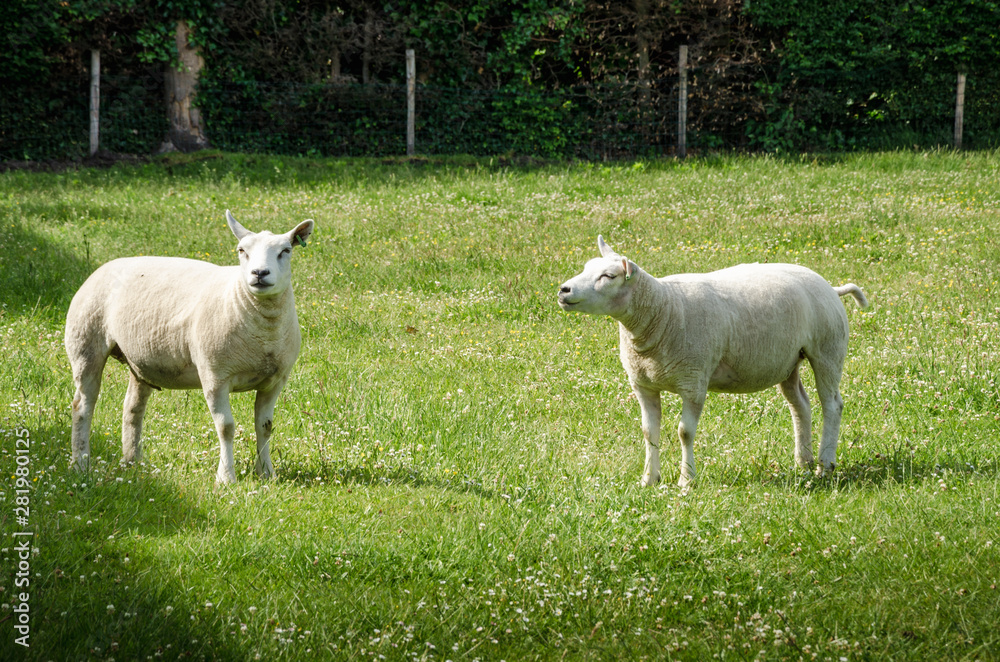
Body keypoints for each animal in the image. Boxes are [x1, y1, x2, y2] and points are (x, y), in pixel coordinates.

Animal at [64, 210, 314, 484]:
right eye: (241, 250)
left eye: (286, 250)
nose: (259, 273)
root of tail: (104, 267)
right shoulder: (215, 376)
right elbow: (226, 427)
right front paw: (226, 477)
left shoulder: (275, 381)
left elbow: (265, 427)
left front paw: (267, 473)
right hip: (84, 344)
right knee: (82, 406)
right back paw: (80, 463)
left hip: (140, 361)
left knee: (132, 408)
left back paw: (132, 461)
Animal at [557, 236, 868, 487]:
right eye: (586, 268)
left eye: (608, 276)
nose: (563, 290)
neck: (662, 309)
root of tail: (831, 287)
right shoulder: (643, 384)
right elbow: (648, 432)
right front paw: (649, 480)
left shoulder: (693, 381)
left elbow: (684, 432)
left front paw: (686, 480)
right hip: (787, 361)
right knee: (800, 406)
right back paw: (802, 463)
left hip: (828, 349)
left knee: (832, 405)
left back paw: (824, 466)